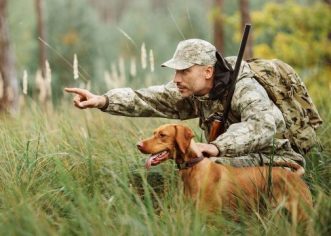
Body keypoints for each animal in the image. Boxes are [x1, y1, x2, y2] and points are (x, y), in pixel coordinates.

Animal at [137, 122, 314, 222]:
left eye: (162, 135)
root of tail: (294, 175)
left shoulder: (210, 217)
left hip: (302, 215)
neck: (194, 168)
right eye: (154, 133)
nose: (138, 145)